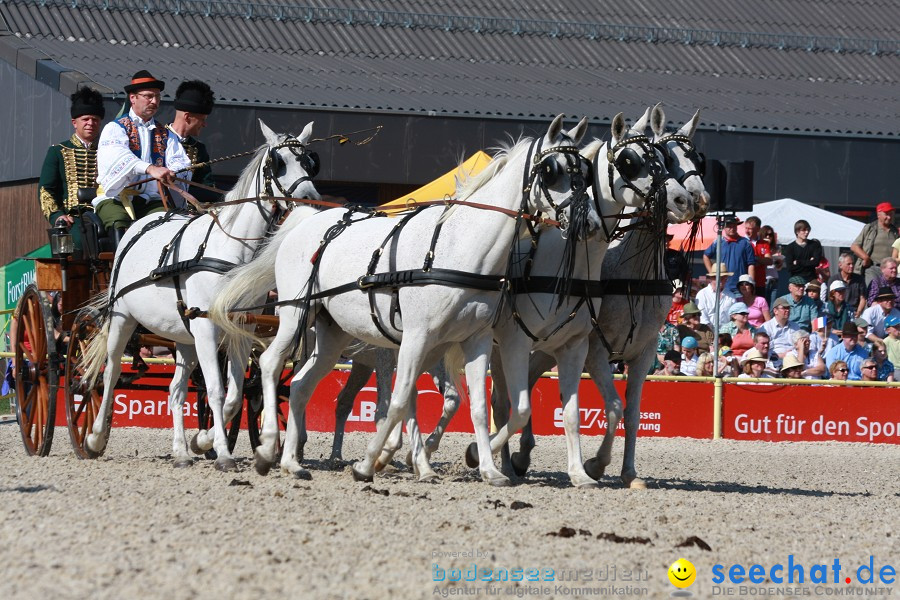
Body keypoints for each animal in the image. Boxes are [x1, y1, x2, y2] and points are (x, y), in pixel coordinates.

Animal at [77, 120, 322, 468]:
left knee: (176, 390)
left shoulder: (241, 329)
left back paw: (181, 451)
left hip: (183, 336)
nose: (310, 199)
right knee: (109, 374)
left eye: (309, 163)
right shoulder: (207, 328)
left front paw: (202, 441)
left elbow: (233, 394)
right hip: (122, 319)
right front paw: (221, 453)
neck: (229, 248)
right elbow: (216, 390)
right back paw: (95, 437)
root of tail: (142, 223)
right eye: (279, 163)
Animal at [210, 115, 596, 486]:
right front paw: (369, 464)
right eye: (553, 170)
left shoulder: (477, 339)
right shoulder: (416, 337)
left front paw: (488, 469)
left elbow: (478, 408)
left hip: (332, 333)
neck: (458, 248)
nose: (589, 221)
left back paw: (292, 462)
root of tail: (305, 219)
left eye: (585, 171)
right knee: (271, 364)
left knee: (303, 385)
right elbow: (397, 402)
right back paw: (266, 448)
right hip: (294, 315)